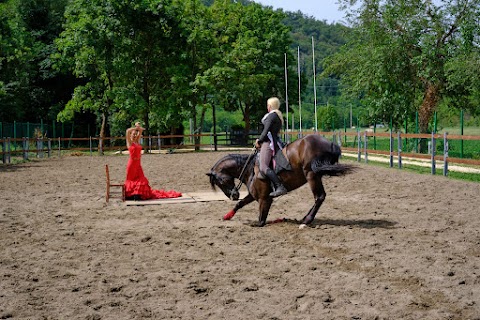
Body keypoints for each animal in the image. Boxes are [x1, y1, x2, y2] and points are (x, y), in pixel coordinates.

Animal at [206, 134, 356, 226]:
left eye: (220, 182)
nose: (233, 195)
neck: (249, 168)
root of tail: (330, 144)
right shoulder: (254, 195)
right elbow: (240, 204)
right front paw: (228, 216)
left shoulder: (265, 199)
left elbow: (260, 221)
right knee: (319, 197)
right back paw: (304, 218)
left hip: (311, 175)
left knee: (319, 197)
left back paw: (306, 220)